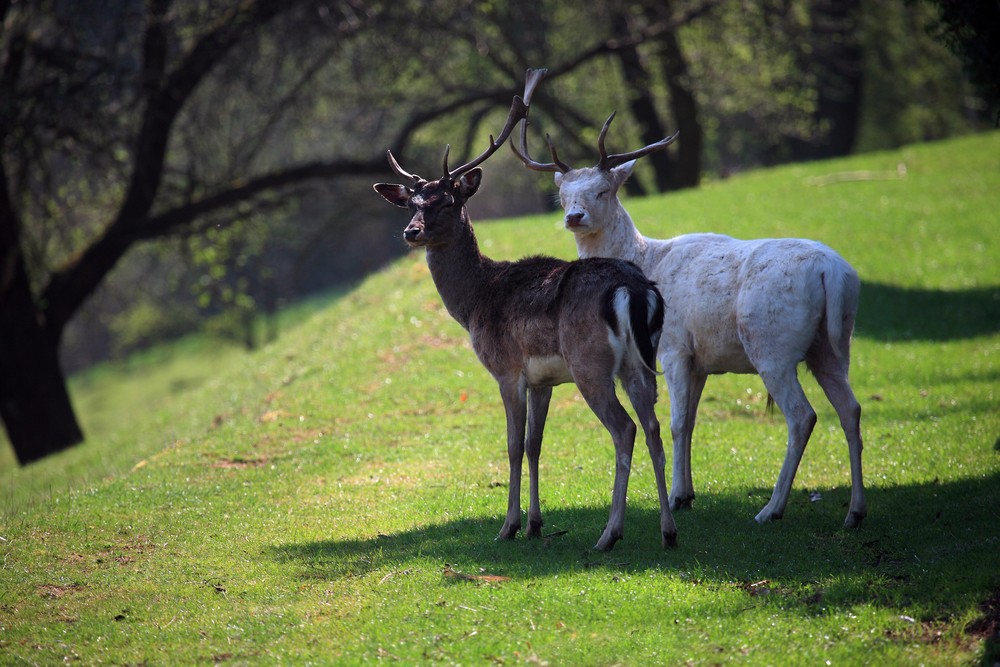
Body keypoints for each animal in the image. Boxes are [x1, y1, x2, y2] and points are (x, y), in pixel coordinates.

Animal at [376, 68, 680, 552]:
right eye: (410, 202)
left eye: (448, 201)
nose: (411, 232)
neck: (475, 302)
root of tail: (633, 289)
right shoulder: (543, 380)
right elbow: (537, 444)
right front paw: (536, 523)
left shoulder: (507, 369)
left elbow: (513, 445)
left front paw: (509, 525)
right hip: (640, 362)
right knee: (652, 426)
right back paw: (668, 531)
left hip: (590, 363)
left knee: (626, 429)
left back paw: (609, 534)